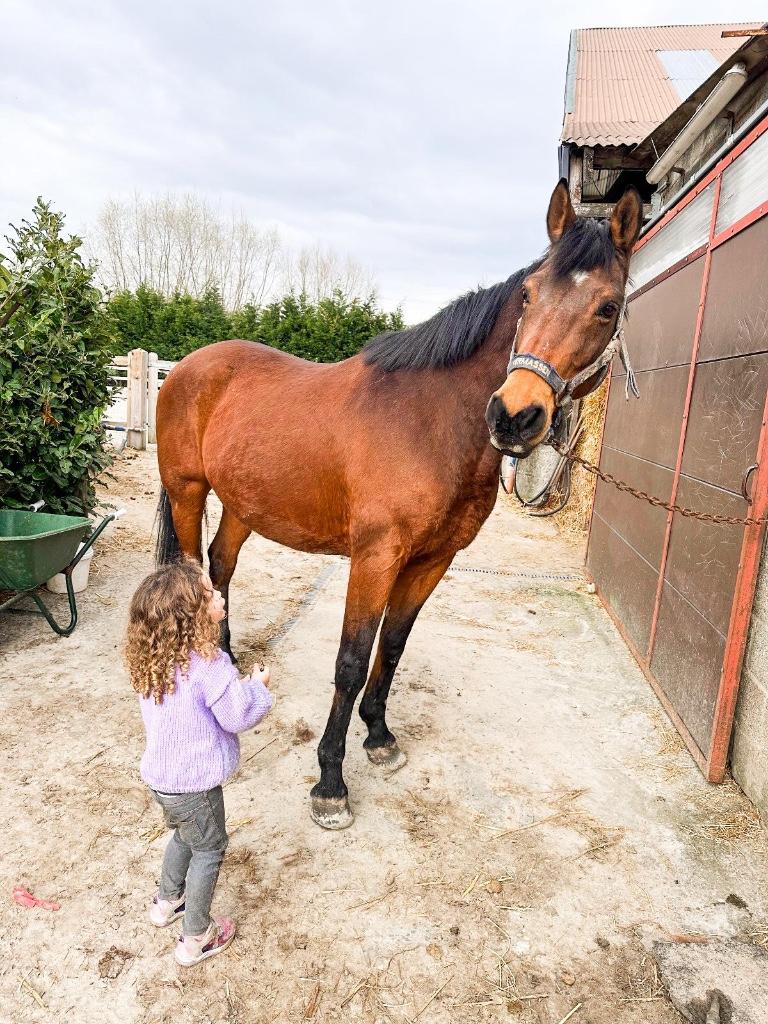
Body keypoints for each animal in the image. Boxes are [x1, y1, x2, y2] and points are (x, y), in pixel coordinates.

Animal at [155, 180, 642, 829]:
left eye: (607, 307)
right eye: (529, 294)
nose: (514, 415)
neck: (430, 422)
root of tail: (185, 366)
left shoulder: (432, 560)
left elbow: (393, 645)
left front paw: (379, 736)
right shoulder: (375, 557)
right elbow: (352, 658)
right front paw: (330, 783)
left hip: (244, 504)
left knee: (220, 565)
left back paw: (228, 663)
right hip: (188, 491)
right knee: (192, 573)